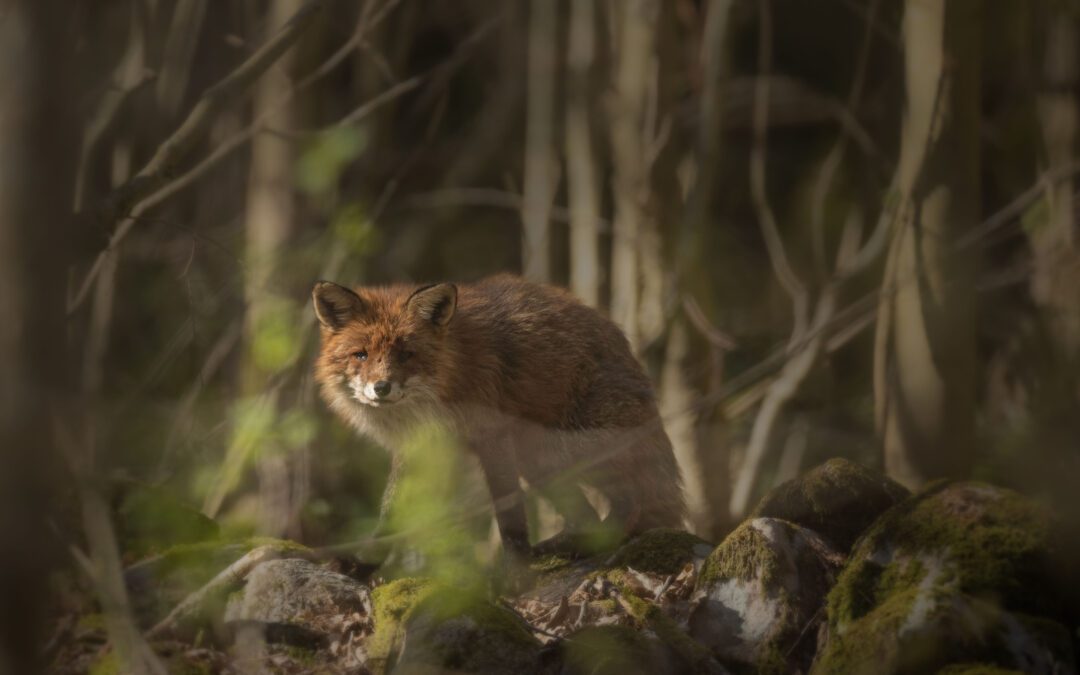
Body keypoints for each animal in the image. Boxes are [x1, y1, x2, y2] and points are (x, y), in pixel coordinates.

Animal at [313, 271, 682, 557]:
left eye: (407, 354)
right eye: (361, 355)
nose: (382, 387)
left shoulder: (493, 437)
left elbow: (510, 513)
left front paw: (516, 571)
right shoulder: (415, 449)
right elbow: (390, 513)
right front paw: (365, 565)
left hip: (559, 449)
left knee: (629, 495)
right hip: (539, 461)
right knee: (590, 512)